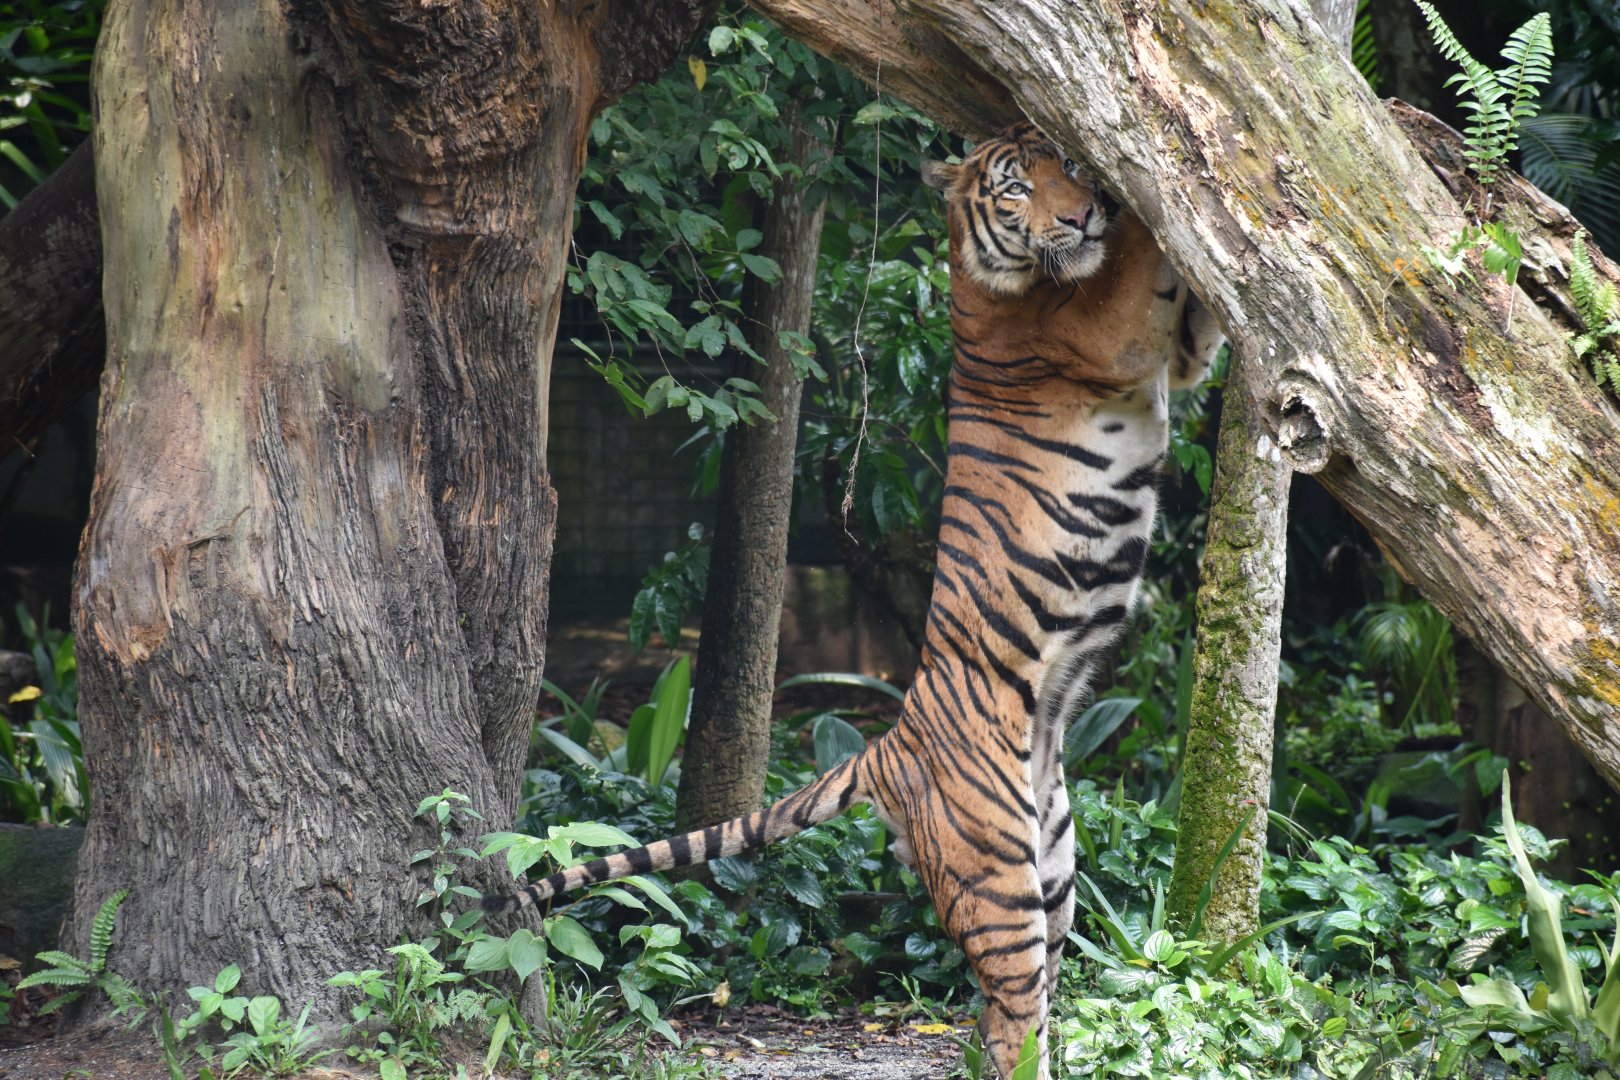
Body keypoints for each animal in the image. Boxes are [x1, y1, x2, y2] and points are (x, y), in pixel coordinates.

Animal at [484, 121, 1221, 1079]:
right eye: (1018, 189)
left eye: (1066, 166)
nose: (1079, 211)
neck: (987, 280)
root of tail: (885, 747)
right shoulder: (1102, 329)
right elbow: (1135, 263)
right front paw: (1150, 202)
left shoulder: (1176, 355)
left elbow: (1201, 321)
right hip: (1001, 872)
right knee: (1013, 1009)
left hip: (1055, 858)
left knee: (1012, 1000)